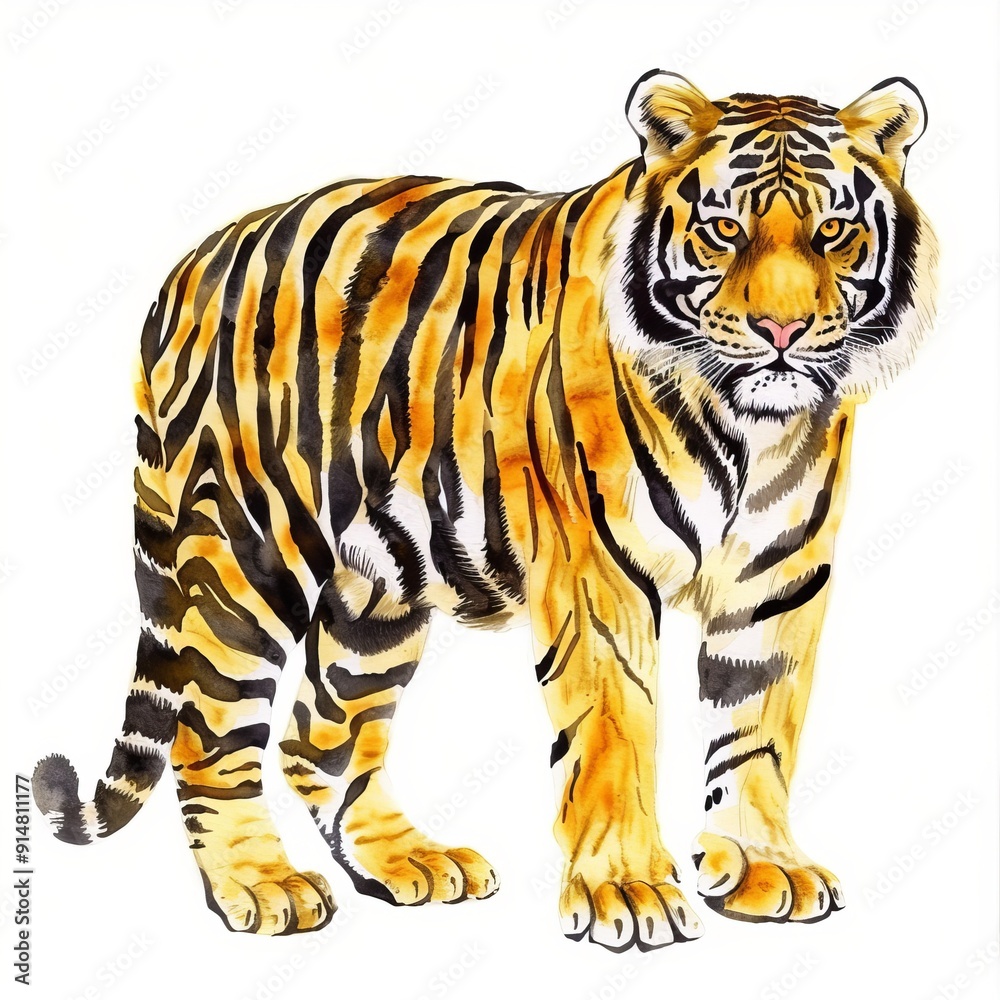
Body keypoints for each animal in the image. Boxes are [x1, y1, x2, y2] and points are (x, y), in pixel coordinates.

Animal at [32, 70, 937, 951]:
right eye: (722, 230)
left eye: (832, 233)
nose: (782, 330)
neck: (752, 426)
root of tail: (190, 265)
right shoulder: (599, 575)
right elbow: (615, 730)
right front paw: (628, 891)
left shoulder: (777, 579)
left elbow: (758, 726)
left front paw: (762, 866)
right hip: (248, 549)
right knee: (210, 728)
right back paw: (261, 884)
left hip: (376, 591)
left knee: (319, 737)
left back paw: (408, 862)